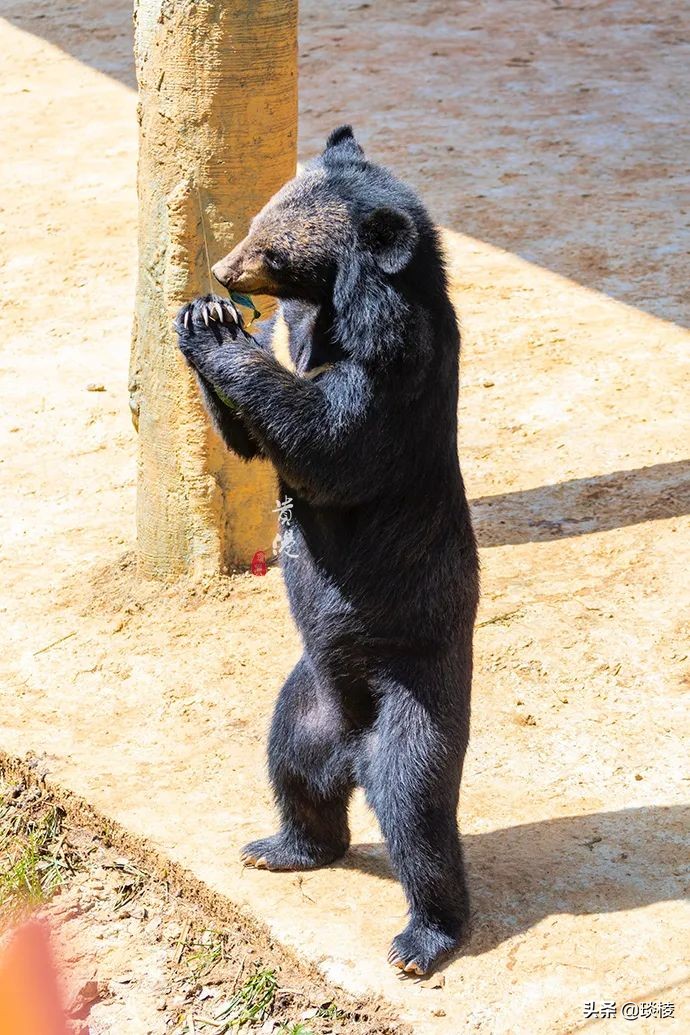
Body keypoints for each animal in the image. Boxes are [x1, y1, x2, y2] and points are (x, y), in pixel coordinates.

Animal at [176, 125, 479, 972]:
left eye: (275, 249)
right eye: (257, 220)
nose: (223, 270)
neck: (339, 316)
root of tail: (351, 743)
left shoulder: (393, 377)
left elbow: (327, 440)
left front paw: (217, 327)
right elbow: (254, 442)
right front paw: (205, 311)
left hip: (416, 688)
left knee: (416, 808)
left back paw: (422, 937)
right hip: (300, 700)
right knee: (293, 772)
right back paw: (279, 845)